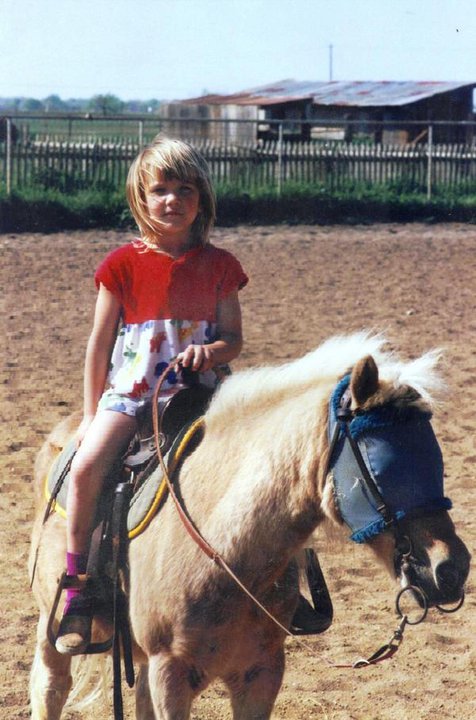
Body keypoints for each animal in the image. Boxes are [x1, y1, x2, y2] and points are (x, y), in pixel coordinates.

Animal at [29, 332, 470, 719]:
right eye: (382, 465)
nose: (451, 568)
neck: (227, 552)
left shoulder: (261, 673)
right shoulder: (170, 676)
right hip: (54, 633)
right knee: (49, 688)